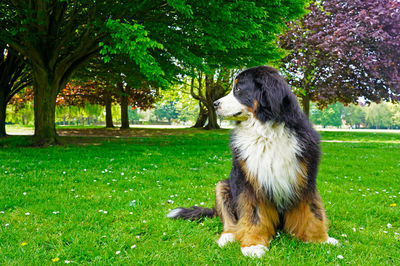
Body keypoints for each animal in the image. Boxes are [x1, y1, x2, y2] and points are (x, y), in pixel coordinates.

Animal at [168, 66, 338, 258]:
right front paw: (253, 245)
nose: (215, 104)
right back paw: (228, 236)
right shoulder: (250, 182)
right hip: (222, 186)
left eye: (238, 89)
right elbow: (254, 216)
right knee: (229, 220)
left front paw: (320, 239)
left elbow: (312, 211)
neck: (266, 132)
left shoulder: (303, 177)